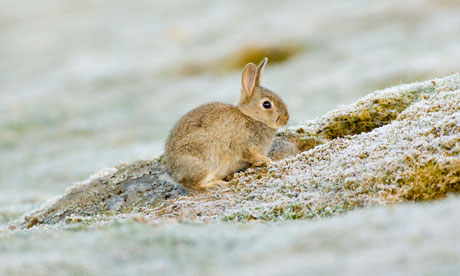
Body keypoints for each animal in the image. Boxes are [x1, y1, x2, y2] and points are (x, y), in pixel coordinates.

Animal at [164, 56, 288, 189]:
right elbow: (250, 155)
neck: (250, 117)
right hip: (200, 165)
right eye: (266, 104)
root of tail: (175, 176)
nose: (286, 119)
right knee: (196, 185)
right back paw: (218, 183)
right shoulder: (243, 145)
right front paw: (265, 160)